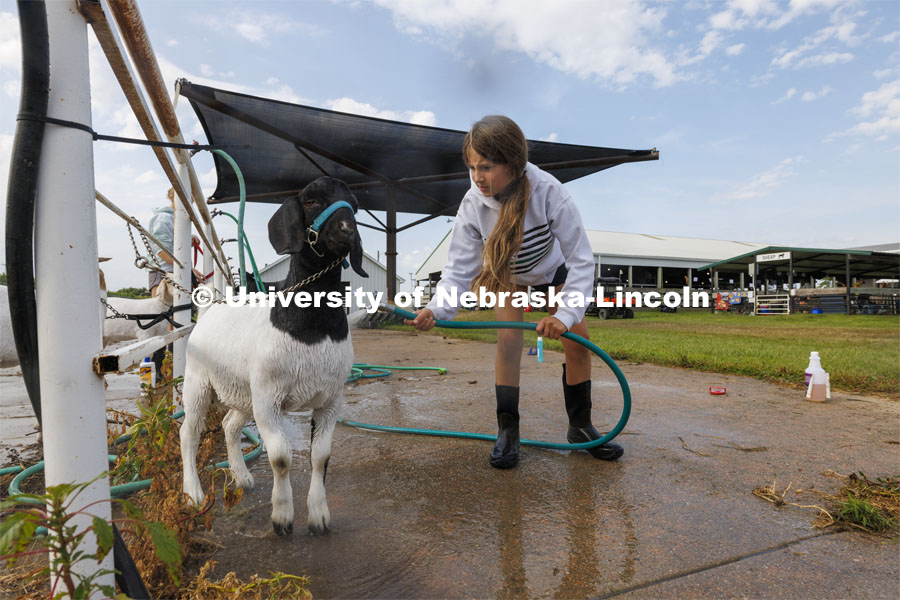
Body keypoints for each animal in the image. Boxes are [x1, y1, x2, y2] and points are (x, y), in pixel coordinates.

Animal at [179, 177, 366, 536]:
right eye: (310, 200)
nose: (347, 229)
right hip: (198, 383)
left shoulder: (330, 400)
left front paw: (319, 516)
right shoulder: (269, 399)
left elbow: (320, 457)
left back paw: (242, 476)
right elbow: (280, 457)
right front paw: (282, 517)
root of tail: (210, 310)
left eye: (354, 204)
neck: (311, 329)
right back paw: (193, 493)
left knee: (229, 424)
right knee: (189, 433)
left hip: (242, 392)